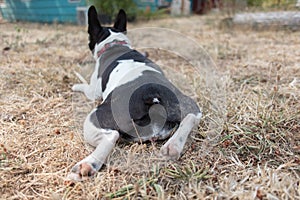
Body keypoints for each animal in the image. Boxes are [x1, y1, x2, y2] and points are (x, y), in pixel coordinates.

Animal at [68, 5, 202, 181]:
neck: (115, 44)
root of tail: (150, 93)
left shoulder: (93, 91)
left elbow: (84, 87)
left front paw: (75, 85)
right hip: (186, 103)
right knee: (191, 116)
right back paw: (173, 147)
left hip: (95, 118)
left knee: (111, 137)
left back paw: (88, 164)